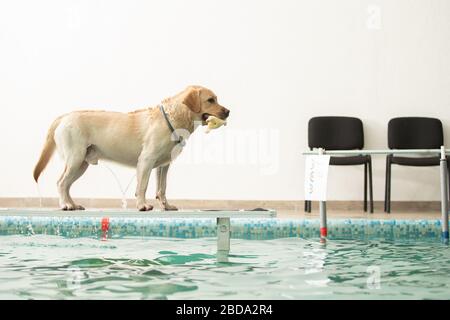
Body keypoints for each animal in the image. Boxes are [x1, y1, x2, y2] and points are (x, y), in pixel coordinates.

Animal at [33, 85, 230, 211]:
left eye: (216, 99)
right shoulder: (146, 160)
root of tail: (64, 116)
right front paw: (142, 205)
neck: (174, 118)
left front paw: (166, 206)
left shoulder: (163, 165)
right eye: (210, 100)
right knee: (61, 183)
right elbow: (142, 186)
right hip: (75, 158)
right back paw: (65, 205)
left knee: (66, 185)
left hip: (82, 164)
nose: (228, 111)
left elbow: (162, 188)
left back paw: (73, 205)